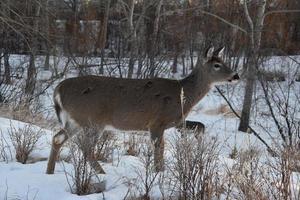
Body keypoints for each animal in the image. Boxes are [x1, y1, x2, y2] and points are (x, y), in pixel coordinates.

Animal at [45, 46, 240, 173]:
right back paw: (102, 174)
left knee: (57, 138)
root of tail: (58, 89)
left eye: (224, 61)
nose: (236, 75)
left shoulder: (176, 121)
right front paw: (159, 173)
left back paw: (50, 172)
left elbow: (200, 125)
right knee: (86, 148)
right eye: (216, 65)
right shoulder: (157, 122)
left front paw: (198, 143)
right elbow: (159, 148)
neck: (183, 95)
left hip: (75, 121)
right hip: (92, 120)